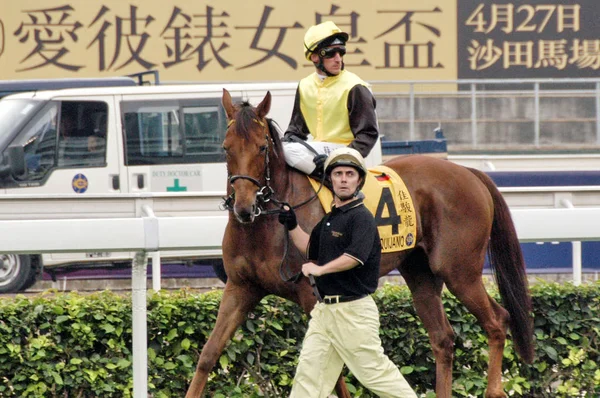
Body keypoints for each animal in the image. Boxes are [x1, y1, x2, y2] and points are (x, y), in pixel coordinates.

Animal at [184, 90, 536, 398]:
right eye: (226, 148)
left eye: (261, 148)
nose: (244, 207)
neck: (265, 225)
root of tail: (467, 171)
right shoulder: (240, 288)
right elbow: (208, 354)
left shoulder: (313, 295)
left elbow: (334, 369)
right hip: (420, 274)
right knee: (443, 338)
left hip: (460, 271)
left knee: (497, 320)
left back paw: (495, 389)